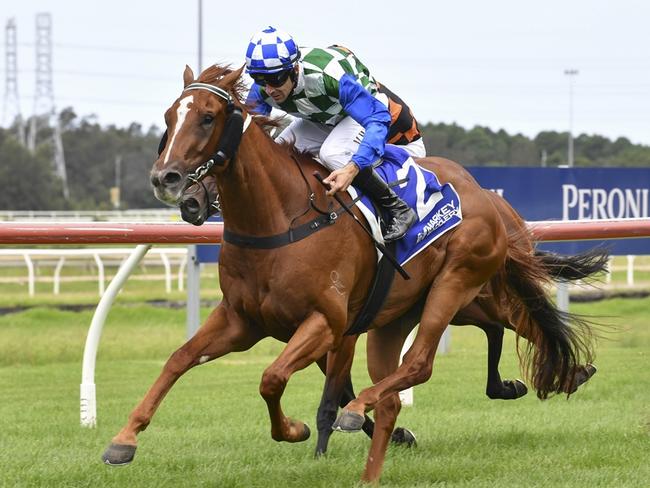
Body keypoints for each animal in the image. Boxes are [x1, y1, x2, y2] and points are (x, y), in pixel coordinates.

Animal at [101, 63, 596, 480]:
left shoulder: (327, 322)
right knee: (419, 380)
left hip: (457, 283)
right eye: (170, 117)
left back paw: (363, 409)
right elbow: (179, 359)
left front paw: (296, 430)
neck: (280, 218)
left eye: (207, 117)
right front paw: (123, 440)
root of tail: (489, 199)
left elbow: (273, 379)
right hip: (411, 313)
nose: (168, 181)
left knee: (423, 362)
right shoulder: (242, 320)